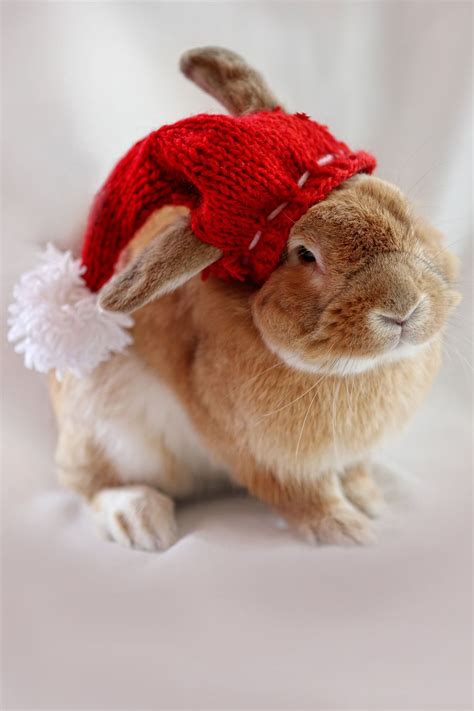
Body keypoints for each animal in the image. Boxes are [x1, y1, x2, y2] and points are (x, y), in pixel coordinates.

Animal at [48, 48, 460, 552]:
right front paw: (348, 532)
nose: (404, 307)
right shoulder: (268, 458)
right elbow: (306, 495)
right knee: (86, 483)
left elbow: (354, 472)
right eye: (305, 255)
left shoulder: (346, 453)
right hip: (105, 431)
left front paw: (370, 500)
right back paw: (141, 520)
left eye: (400, 208)